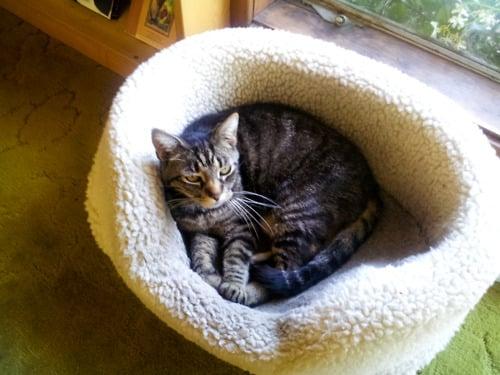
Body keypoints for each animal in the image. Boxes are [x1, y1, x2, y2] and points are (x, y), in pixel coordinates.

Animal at [151, 102, 378, 306]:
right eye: (192, 178)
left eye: (225, 170)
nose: (216, 194)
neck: (206, 214)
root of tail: (370, 182)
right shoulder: (200, 231)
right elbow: (200, 253)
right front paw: (208, 275)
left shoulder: (242, 226)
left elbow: (236, 256)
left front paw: (233, 284)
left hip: (293, 215)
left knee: (284, 274)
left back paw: (250, 290)